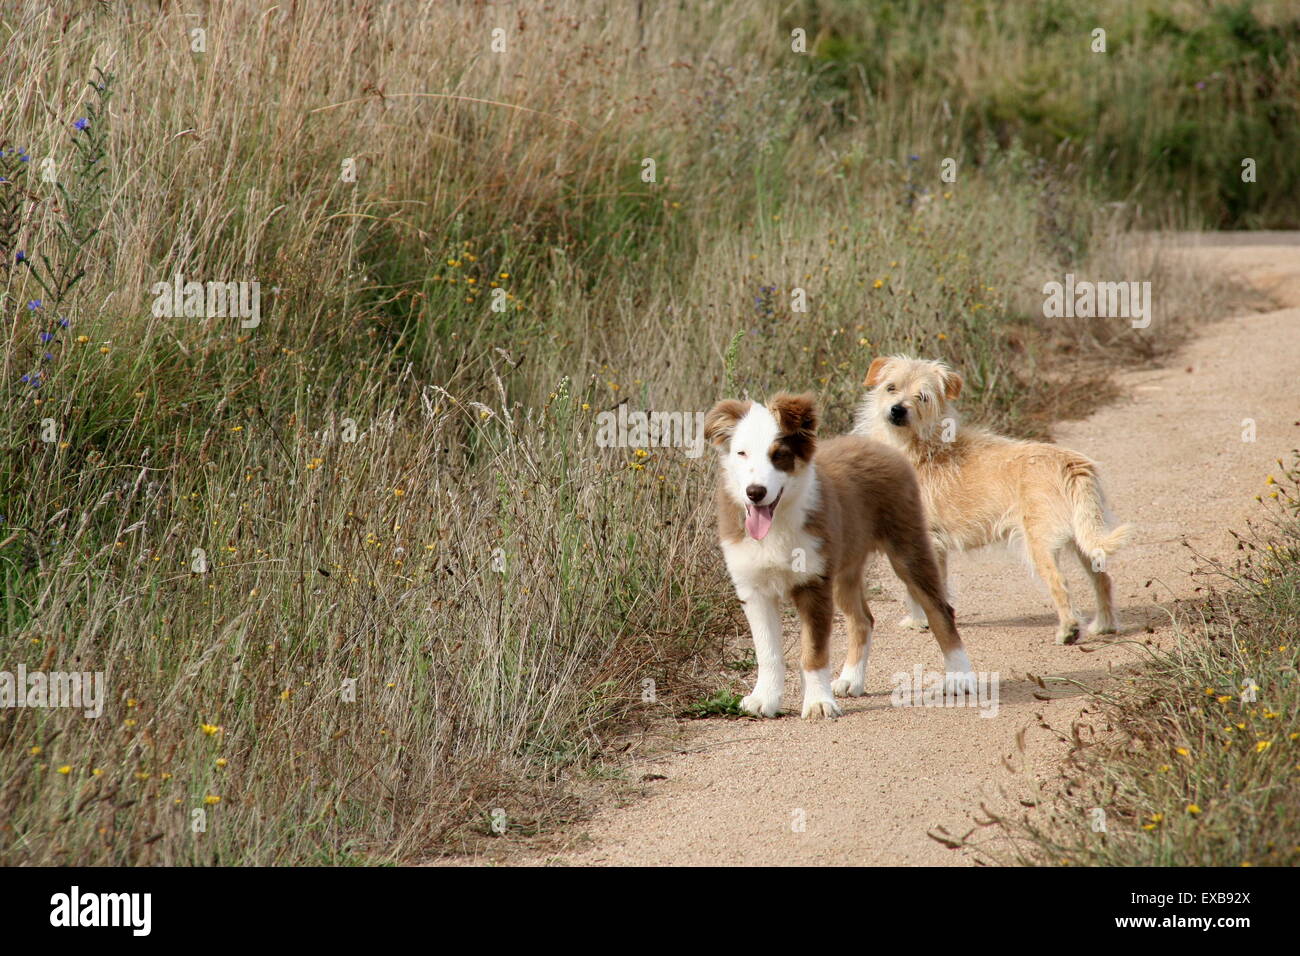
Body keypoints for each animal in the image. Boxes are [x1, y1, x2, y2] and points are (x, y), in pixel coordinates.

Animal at [702, 395, 977, 717]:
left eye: (779, 454)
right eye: (742, 453)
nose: (755, 492)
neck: (778, 521)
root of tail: (876, 445)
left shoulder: (813, 583)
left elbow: (814, 651)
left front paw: (818, 703)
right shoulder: (754, 589)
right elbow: (768, 652)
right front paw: (764, 699)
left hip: (908, 547)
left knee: (940, 610)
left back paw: (960, 677)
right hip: (845, 568)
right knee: (863, 620)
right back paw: (851, 680)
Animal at [852, 356, 1128, 642]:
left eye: (922, 397)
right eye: (891, 387)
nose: (897, 410)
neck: (918, 445)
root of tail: (1072, 465)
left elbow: (918, 589)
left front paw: (920, 621)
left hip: (1039, 545)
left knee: (1060, 584)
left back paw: (1068, 632)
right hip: (1084, 540)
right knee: (1103, 579)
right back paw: (1104, 625)